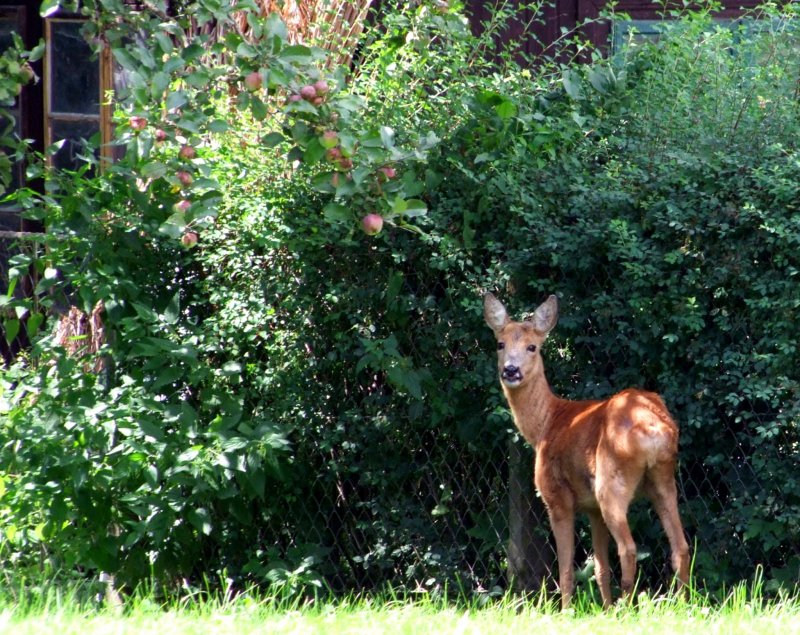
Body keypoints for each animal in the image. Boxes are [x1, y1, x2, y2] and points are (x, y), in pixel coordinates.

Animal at [484, 294, 692, 612]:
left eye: (533, 347)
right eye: (500, 343)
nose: (510, 370)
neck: (546, 425)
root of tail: (654, 427)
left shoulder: (557, 498)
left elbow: (566, 568)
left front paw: (566, 611)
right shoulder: (592, 507)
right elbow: (600, 567)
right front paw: (602, 610)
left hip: (611, 482)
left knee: (629, 548)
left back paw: (627, 607)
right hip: (663, 478)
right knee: (680, 546)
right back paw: (681, 605)